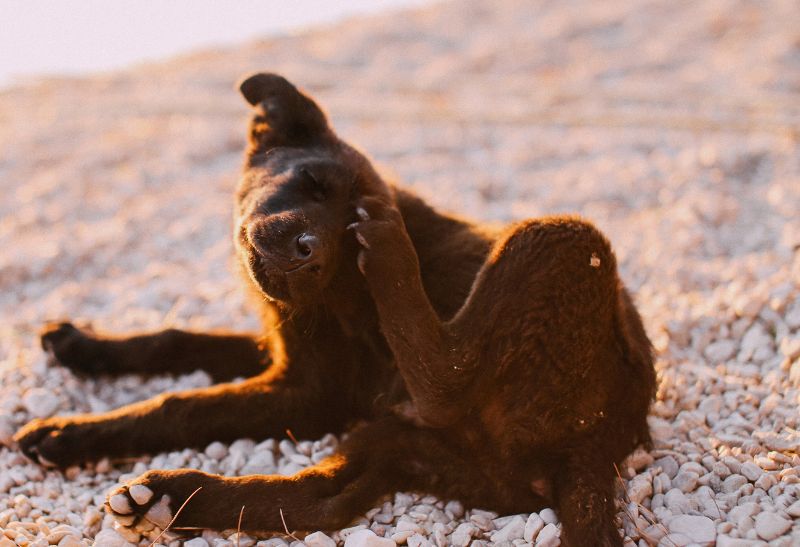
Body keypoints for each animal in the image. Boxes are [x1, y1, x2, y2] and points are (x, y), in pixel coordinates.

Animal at [14, 74, 656, 547]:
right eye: (311, 181)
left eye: (346, 236)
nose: (308, 254)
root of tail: (598, 444)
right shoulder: (283, 352)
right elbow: (178, 340)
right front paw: (80, 350)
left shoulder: (311, 390)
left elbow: (185, 405)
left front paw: (70, 428)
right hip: (412, 447)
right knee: (323, 501)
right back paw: (176, 498)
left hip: (562, 239)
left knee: (445, 381)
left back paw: (393, 256)